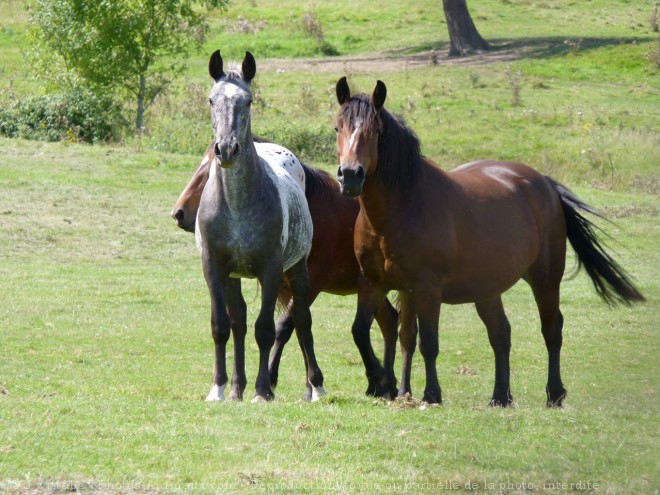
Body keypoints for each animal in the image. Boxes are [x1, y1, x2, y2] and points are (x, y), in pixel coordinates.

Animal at [336, 77, 644, 408]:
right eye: (338, 127)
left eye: (375, 131)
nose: (350, 175)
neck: (399, 209)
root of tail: (545, 184)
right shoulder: (379, 284)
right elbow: (375, 333)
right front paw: (395, 387)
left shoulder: (427, 289)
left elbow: (428, 342)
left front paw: (430, 394)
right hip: (487, 289)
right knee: (500, 333)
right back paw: (500, 396)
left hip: (546, 281)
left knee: (551, 330)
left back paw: (554, 393)